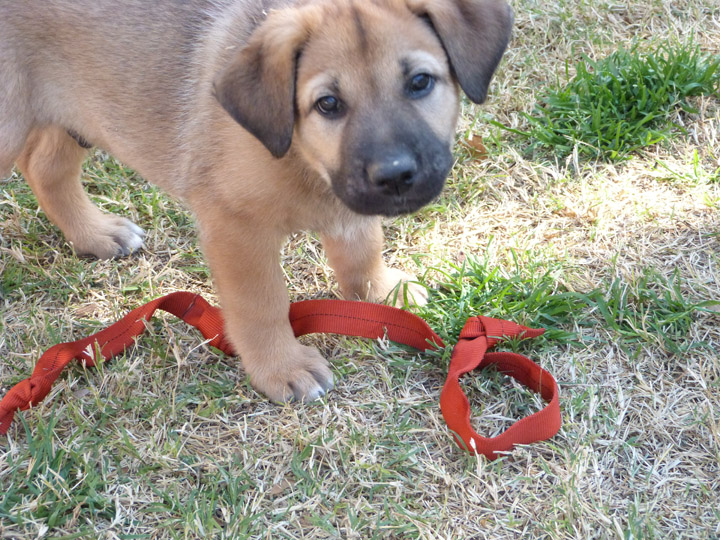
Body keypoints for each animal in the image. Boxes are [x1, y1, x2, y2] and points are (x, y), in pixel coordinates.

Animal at [2, 0, 516, 402]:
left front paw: (379, 291)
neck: (300, 156)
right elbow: (262, 303)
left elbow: (359, 246)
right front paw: (281, 367)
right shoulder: (236, 227)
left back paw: (95, 235)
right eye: (328, 104)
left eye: (420, 82)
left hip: (76, 117)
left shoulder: (347, 203)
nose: (395, 176)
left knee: (45, 167)